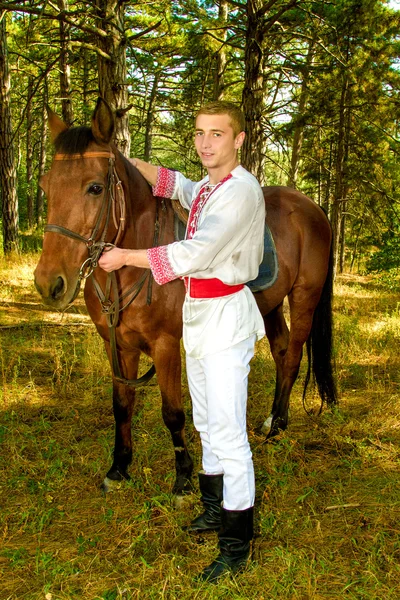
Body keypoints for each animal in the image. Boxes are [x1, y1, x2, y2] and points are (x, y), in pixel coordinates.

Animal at [34, 99, 336, 496]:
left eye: (95, 188)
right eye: (45, 186)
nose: (49, 283)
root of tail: (312, 207)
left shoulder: (165, 345)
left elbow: (172, 413)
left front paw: (182, 478)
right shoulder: (117, 345)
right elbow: (122, 405)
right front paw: (119, 467)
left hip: (304, 299)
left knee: (292, 358)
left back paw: (279, 426)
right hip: (270, 306)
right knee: (282, 350)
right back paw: (272, 418)